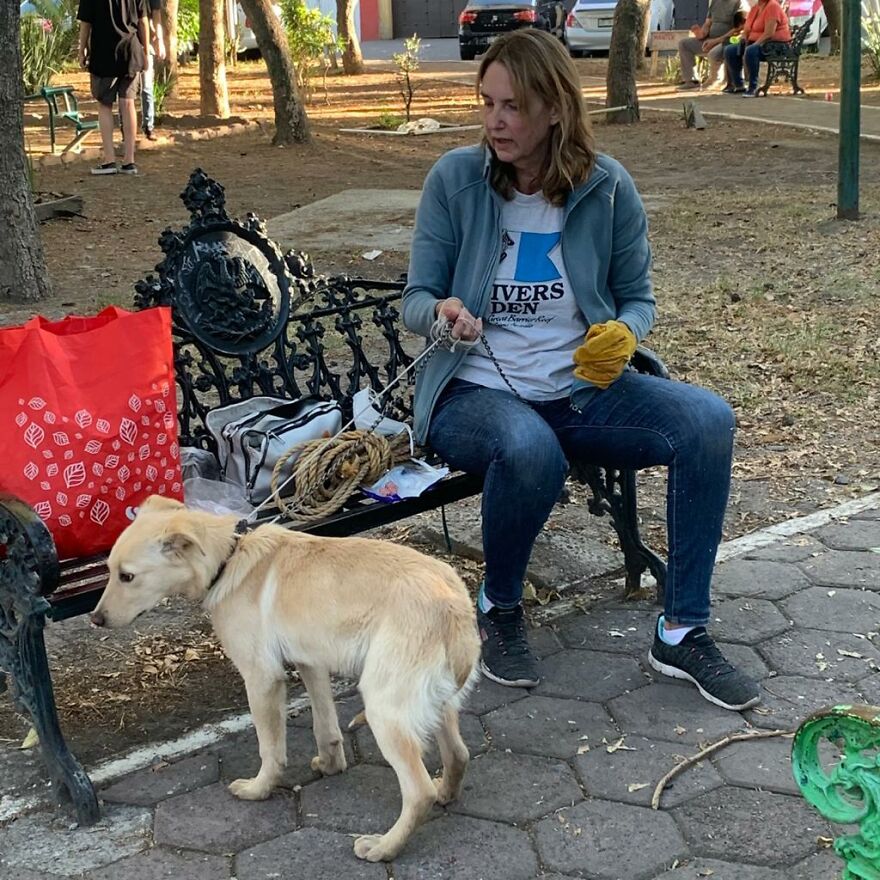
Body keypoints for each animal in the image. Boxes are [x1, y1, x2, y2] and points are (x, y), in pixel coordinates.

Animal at [92, 498, 478, 864]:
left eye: (127, 577)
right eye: (109, 571)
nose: (95, 619)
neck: (229, 559)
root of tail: (454, 606)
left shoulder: (261, 678)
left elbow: (270, 748)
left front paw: (259, 789)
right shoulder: (311, 662)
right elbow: (325, 727)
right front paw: (330, 765)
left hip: (385, 709)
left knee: (419, 791)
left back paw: (385, 847)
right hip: (435, 702)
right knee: (459, 754)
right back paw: (446, 793)